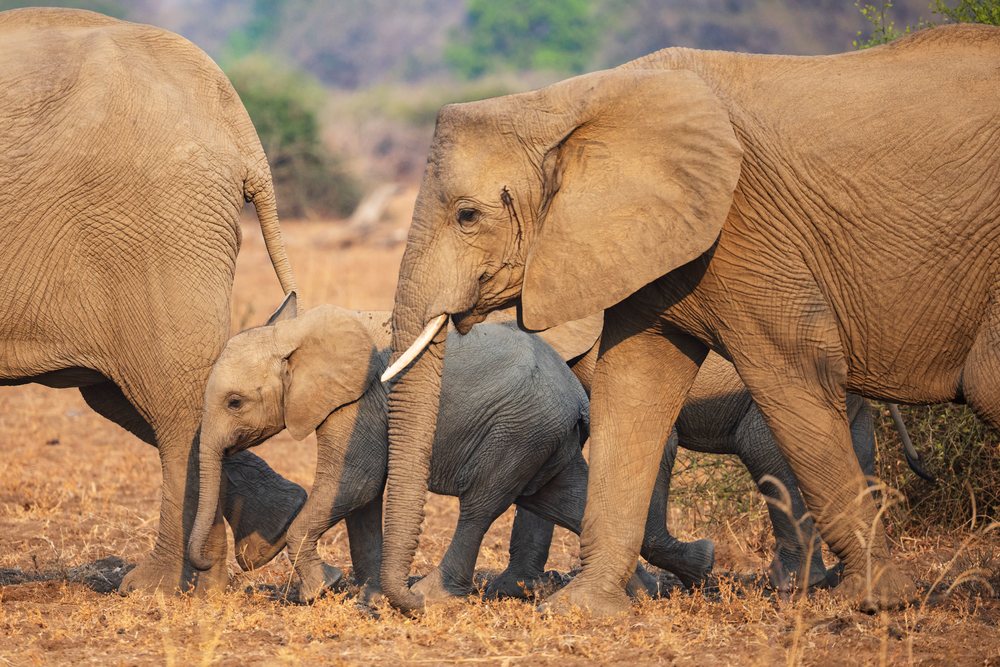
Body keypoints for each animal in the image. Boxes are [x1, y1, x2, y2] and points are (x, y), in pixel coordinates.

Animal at [0, 8, 307, 593]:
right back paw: (273, 532)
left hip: (154, 225)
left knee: (173, 400)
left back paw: (165, 587)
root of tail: (234, 119)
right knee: (131, 396)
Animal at [379, 24, 1000, 614]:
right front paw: (583, 607)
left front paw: (875, 603)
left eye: (467, 215)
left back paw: (802, 587)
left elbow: (790, 370)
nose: (408, 601)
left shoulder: (745, 226)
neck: (573, 99)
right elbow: (636, 387)